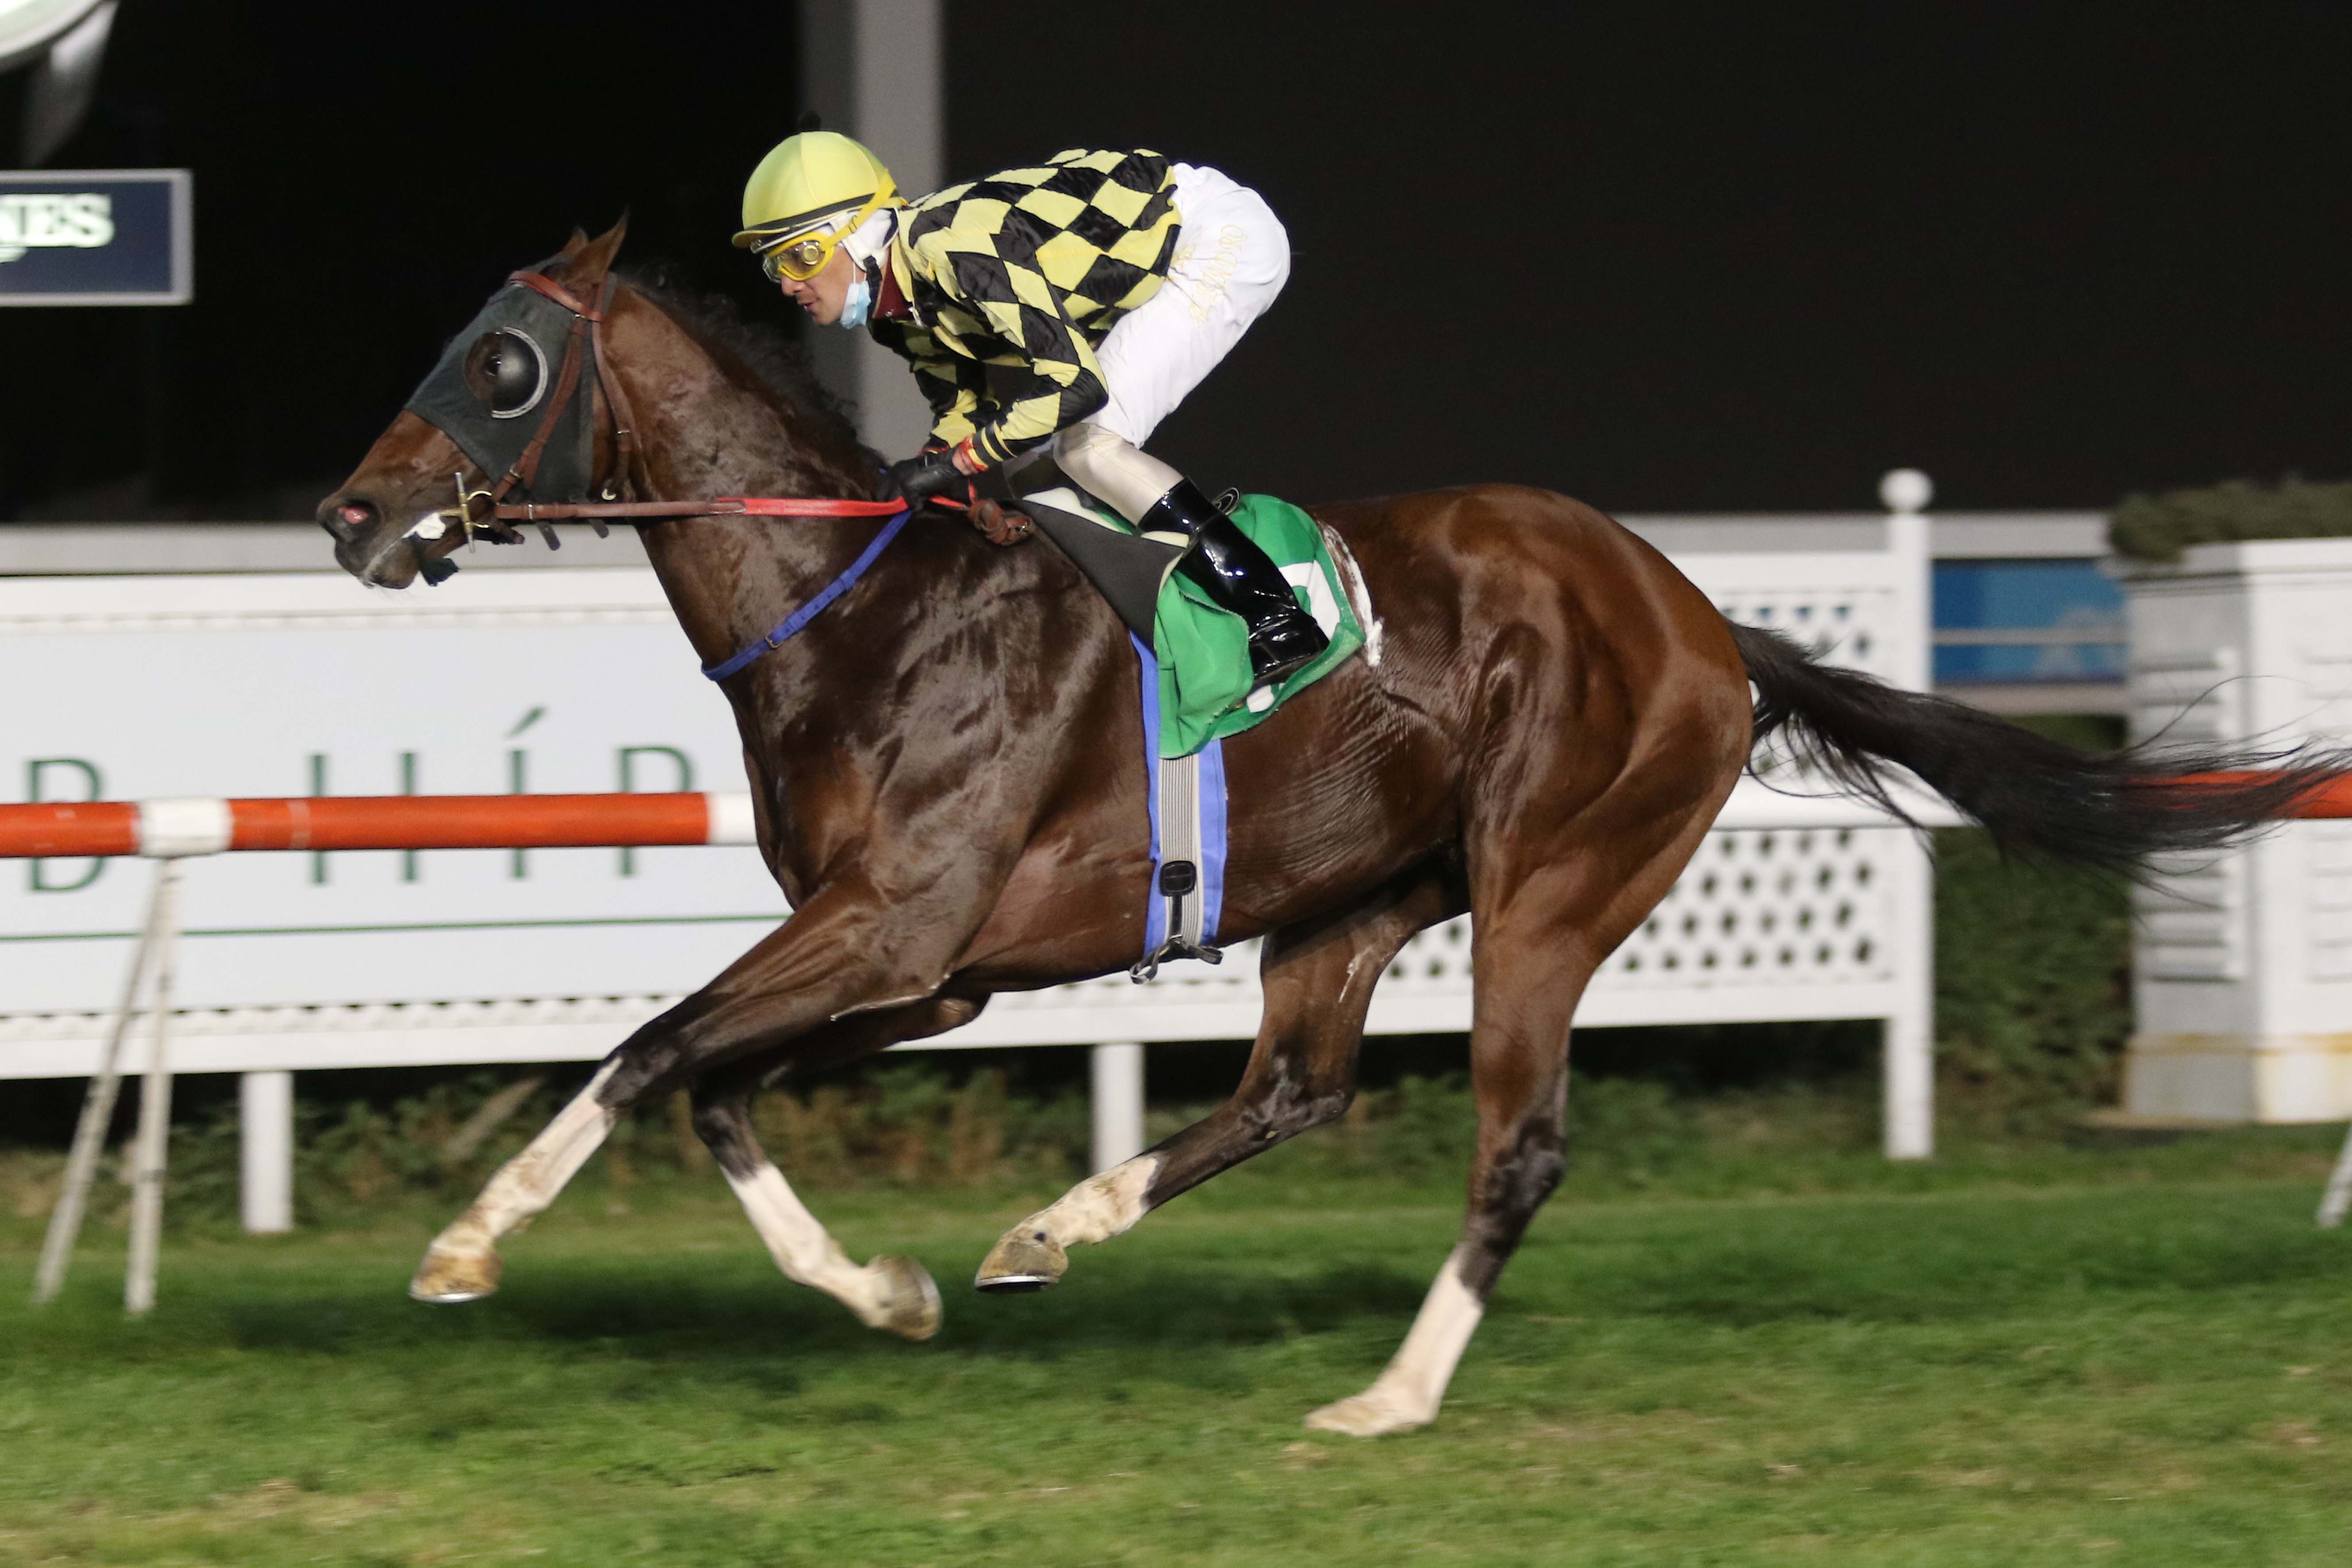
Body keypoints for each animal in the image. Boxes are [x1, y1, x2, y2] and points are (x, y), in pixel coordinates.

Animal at [319, 222, 2332, 1435]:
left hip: (1549, 888)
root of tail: (1698, 621)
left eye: (500, 363)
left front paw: (463, 1246)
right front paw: (884, 1291)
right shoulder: (926, 968)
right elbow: (714, 1080)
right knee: (1296, 1088)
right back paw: (1056, 1227)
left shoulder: (896, 925)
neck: (857, 605)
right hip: (1352, 895)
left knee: (1515, 1149)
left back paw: (1389, 1397)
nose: (351, 517)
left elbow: (647, 1046)